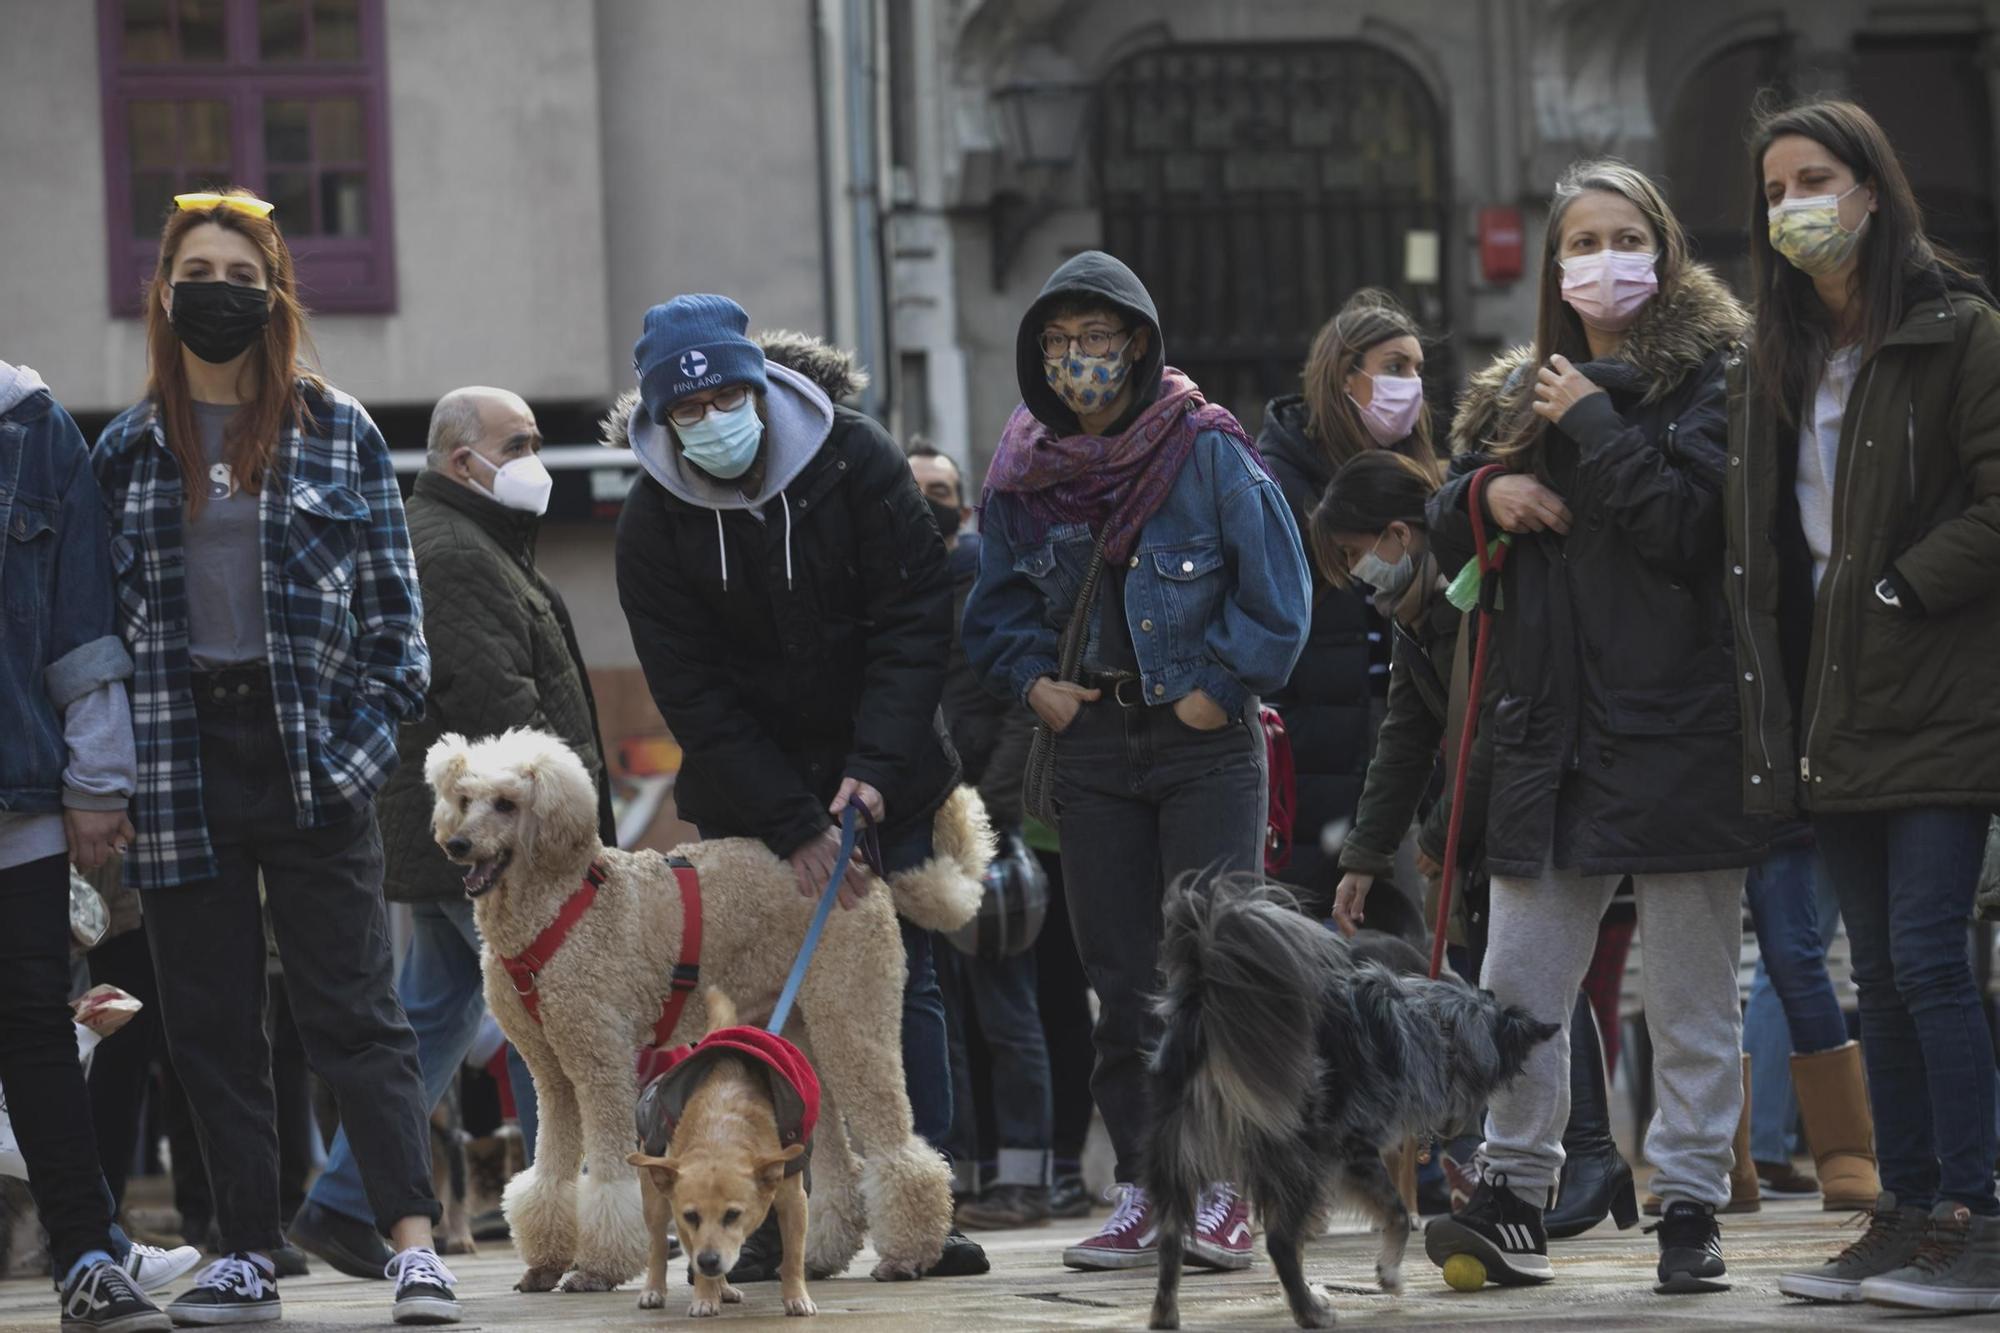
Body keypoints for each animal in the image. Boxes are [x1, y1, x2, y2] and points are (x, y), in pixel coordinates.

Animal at [624, 980, 812, 1312]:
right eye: (691, 1216)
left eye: (733, 1215)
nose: (709, 1260)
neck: (720, 1133)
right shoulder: (683, 1220)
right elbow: (690, 1256)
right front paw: (704, 1298)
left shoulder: (793, 1202)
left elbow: (792, 1257)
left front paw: (796, 1298)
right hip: (655, 1202)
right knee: (658, 1246)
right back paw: (656, 1290)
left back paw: (723, 1287)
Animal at [1144, 876, 1560, 1320]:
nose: (1452, 1129)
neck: (1437, 1024)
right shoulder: (1353, 1149)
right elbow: (1394, 1213)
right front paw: (1388, 1274)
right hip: (1298, 1157)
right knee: (1278, 1239)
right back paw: (1310, 1314)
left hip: (1179, 1153)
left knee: (1171, 1242)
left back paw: (1168, 1316)